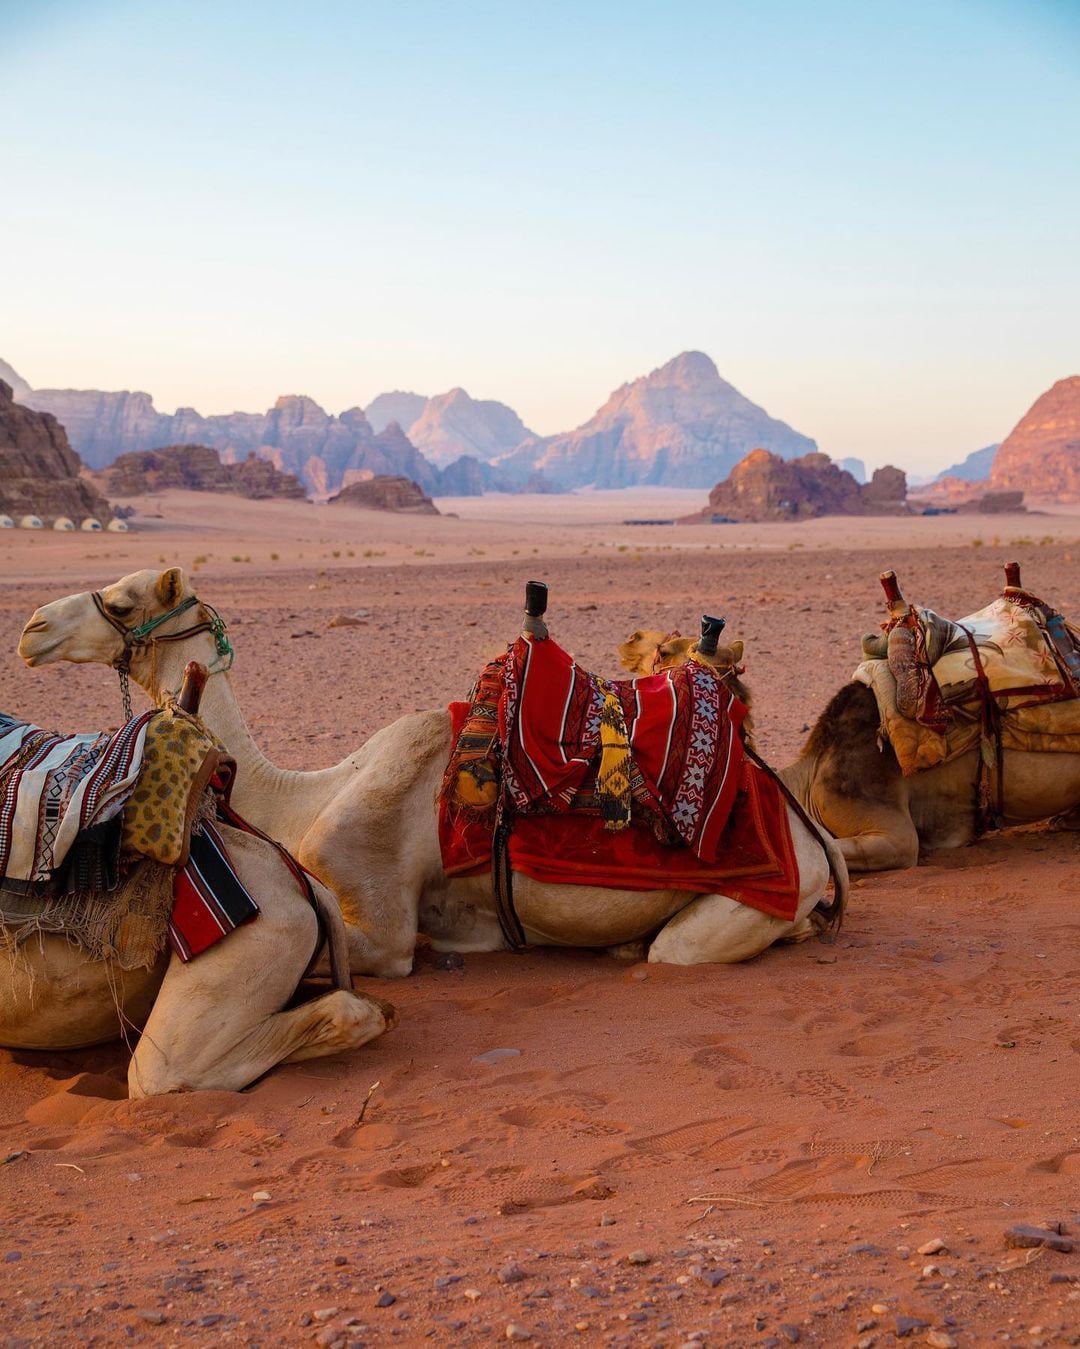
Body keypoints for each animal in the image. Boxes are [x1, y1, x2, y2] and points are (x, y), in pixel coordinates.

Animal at [16, 566, 841, 971]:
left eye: (123, 601)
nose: (31, 627)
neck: (306, 795)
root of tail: (814, 839)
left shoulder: (378, 912)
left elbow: (375, 948)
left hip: (755, 898)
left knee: (684, 947)